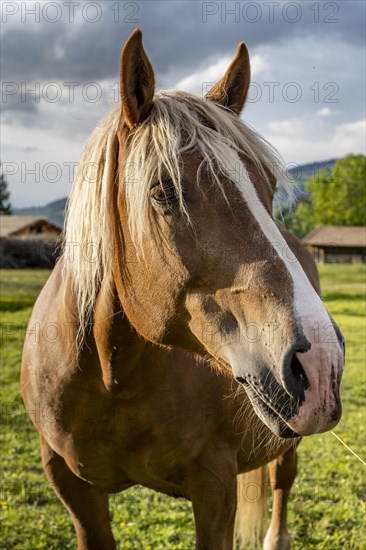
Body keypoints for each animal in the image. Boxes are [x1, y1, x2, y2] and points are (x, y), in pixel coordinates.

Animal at [21, 30, 344, 550]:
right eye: (163, 191)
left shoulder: (214, 483)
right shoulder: (71, 486)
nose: (320, 363)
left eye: (269, 188)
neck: (110, 375)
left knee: (282, 480)